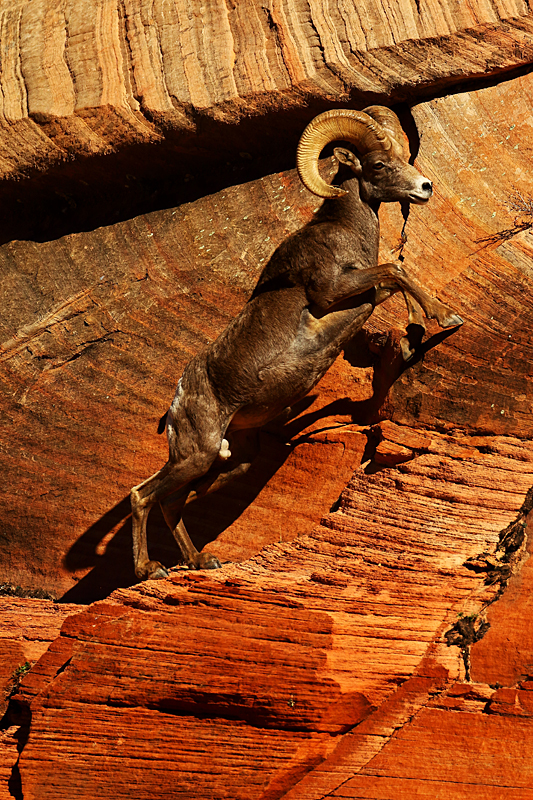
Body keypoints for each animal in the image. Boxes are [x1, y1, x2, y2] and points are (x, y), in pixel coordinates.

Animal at [129, 106, 462, 580]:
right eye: (380, 165)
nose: (425, 188)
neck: (341, 231)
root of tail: (175, 405)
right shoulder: (330, 292)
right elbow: (395, 270)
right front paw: (446, 318)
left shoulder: (361, 294)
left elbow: (394, 279)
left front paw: (414, 334)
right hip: (196, 455)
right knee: (142, 495)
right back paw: (149, 569)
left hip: (227, 462)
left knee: (172, 502)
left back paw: (200, 561)